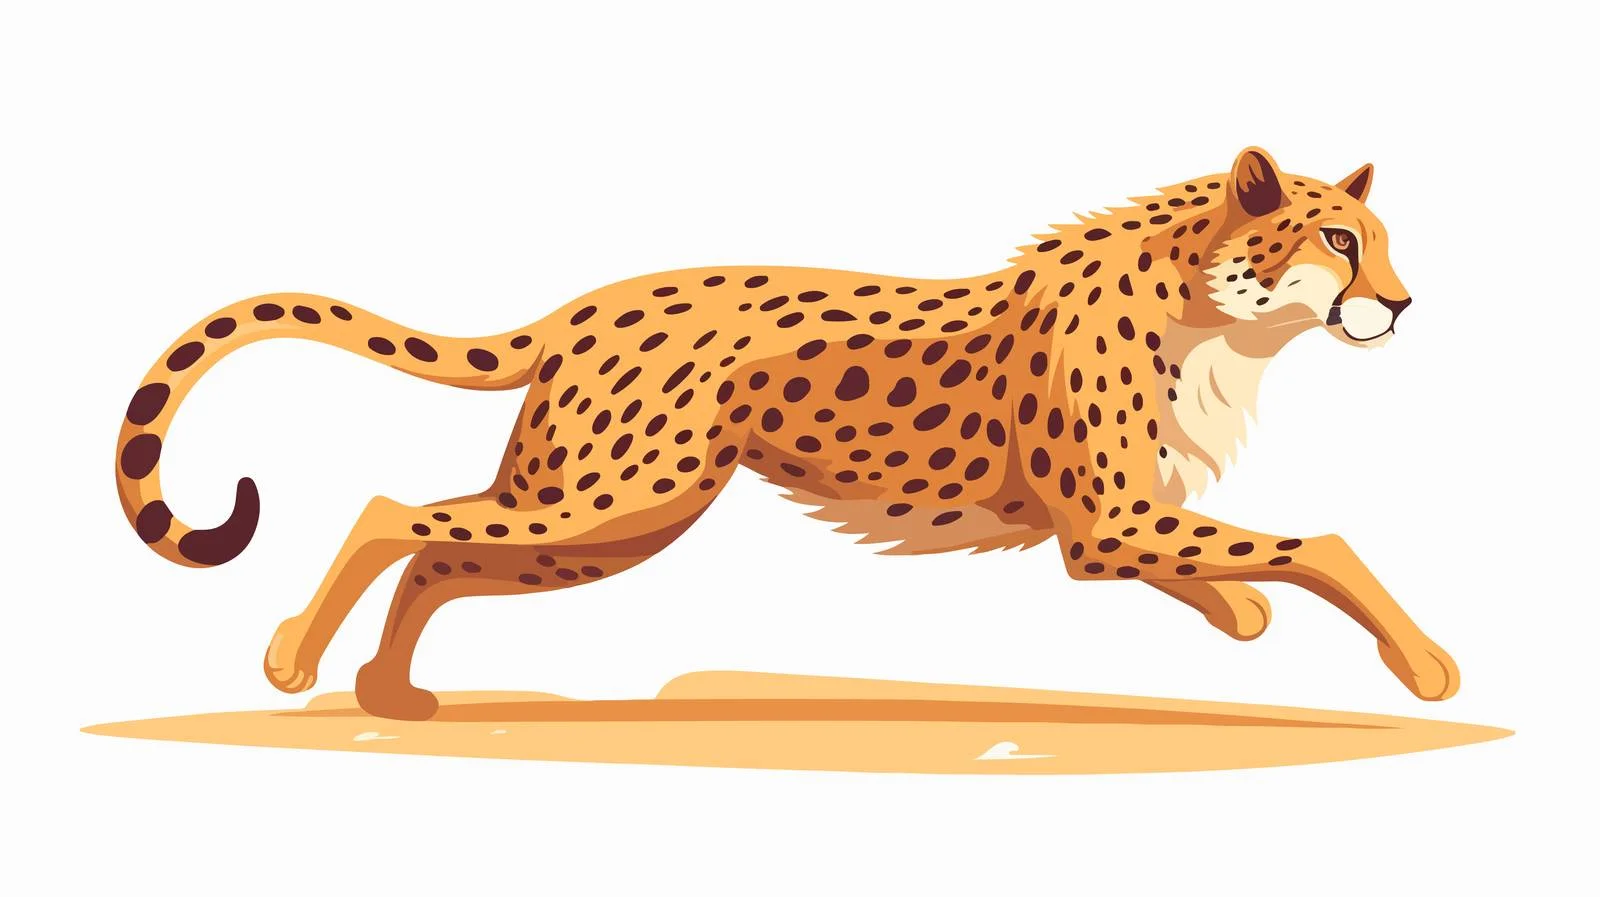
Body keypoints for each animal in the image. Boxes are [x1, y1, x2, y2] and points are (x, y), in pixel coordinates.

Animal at [115, 147, 1458, 720]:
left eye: (1378, 240)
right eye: (1337, 238)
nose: (1401, 304)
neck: (1215, 307)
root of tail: (586, 302)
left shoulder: (1110, 526)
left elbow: (1229, 566)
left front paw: (1239, 613)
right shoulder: (1111, 519)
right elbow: (1320, 545)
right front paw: (1425, 667)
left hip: (608, 521)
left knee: (441, 551)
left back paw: (389, 692)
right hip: (613, 497)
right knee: (394, 512)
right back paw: (295, 663)